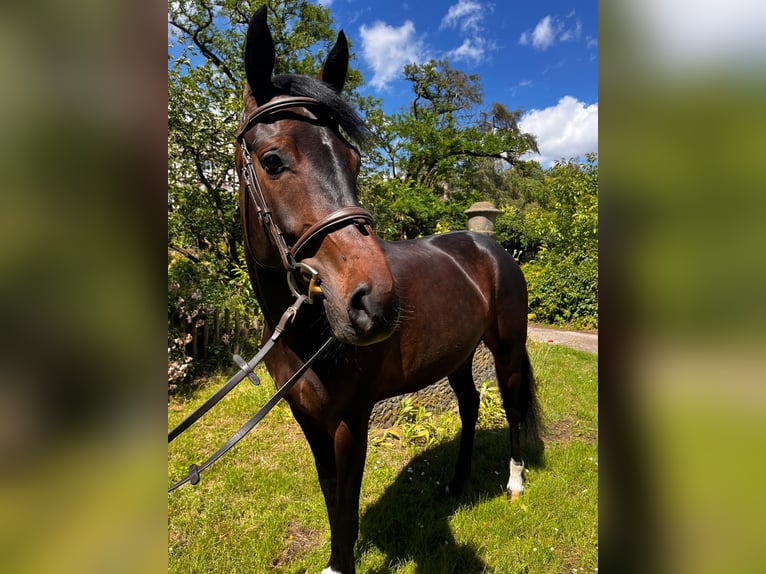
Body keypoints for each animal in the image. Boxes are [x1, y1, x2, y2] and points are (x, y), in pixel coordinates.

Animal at [237, 6, 544, 572]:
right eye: (271, 160)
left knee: (510, 404)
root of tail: (492, 249)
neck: (307, 334)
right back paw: (457, 482)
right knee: (471, 405)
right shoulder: (310, 420)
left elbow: (346, 513)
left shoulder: (349, 423)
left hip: (507, 349)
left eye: (354, 160)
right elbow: (331, 499)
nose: (375, 303)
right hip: (458, 356)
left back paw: (513, 483)